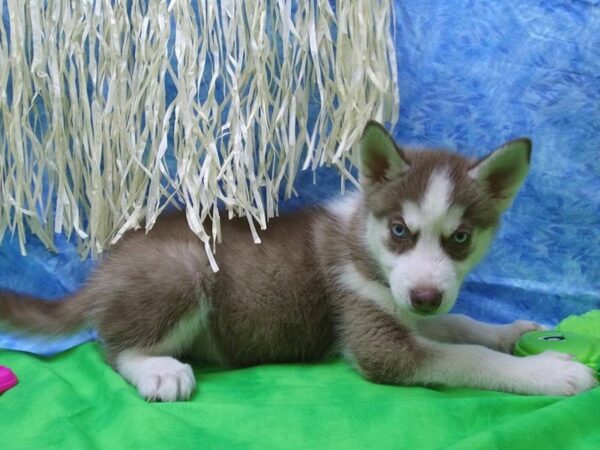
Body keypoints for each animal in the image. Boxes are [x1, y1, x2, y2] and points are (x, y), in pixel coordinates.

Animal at [1, 120, 596, 400]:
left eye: (461, 238)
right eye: (399, 231)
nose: (425, 295)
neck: (362, 242)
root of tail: (105, 268)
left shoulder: (401, 309)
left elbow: (462, 324)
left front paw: (509, 330)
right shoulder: (374, 338)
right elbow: (465, 358)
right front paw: (547, 371)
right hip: (185, 269)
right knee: (114, 347)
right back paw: (159, 369)